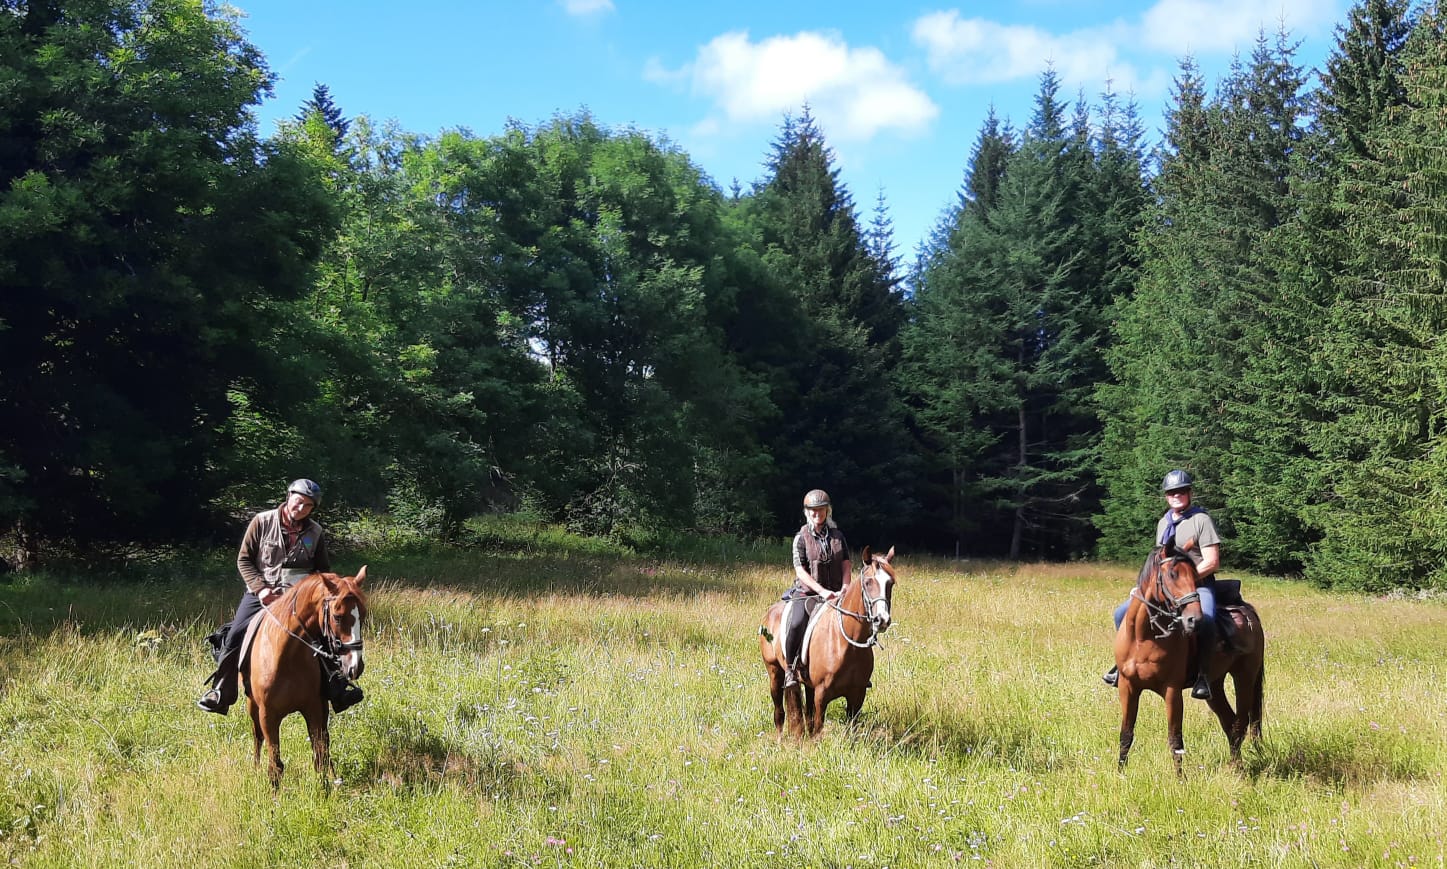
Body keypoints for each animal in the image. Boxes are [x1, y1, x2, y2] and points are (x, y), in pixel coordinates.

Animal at [244, 567, 368, 788]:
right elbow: (275, 765)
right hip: (253, 707)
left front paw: (323, 789)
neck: (286, 656)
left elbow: (319, 756)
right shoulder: (268, 715)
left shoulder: (314, 709)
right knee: (257, 736)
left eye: (362, 614)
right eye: (337, 616)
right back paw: (255, 769)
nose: (356, 666)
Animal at [760, 546, 895, 738]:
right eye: (868, 582)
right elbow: (818, 729)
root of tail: (770, 613)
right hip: (774, 673)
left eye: (890, 583)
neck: (848, 644)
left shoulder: (857, 695)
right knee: (779, 712)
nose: (882, 620)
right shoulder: (822, 694)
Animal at [1114, 545, 1264, 775]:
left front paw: (1180, 779)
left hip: (1244, 678)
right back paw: (1234, 765)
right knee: (1230, 723)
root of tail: (1248, 611)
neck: (1144, 637)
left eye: (1194, 575)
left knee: (1240, 724)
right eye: (1172, 574)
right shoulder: (1127, 686)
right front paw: (1120, 774)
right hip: (1215, 686)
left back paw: (1237, 771)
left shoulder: (1172, 691)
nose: (1194, 619)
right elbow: (1126, 734)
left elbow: (1175, 741)